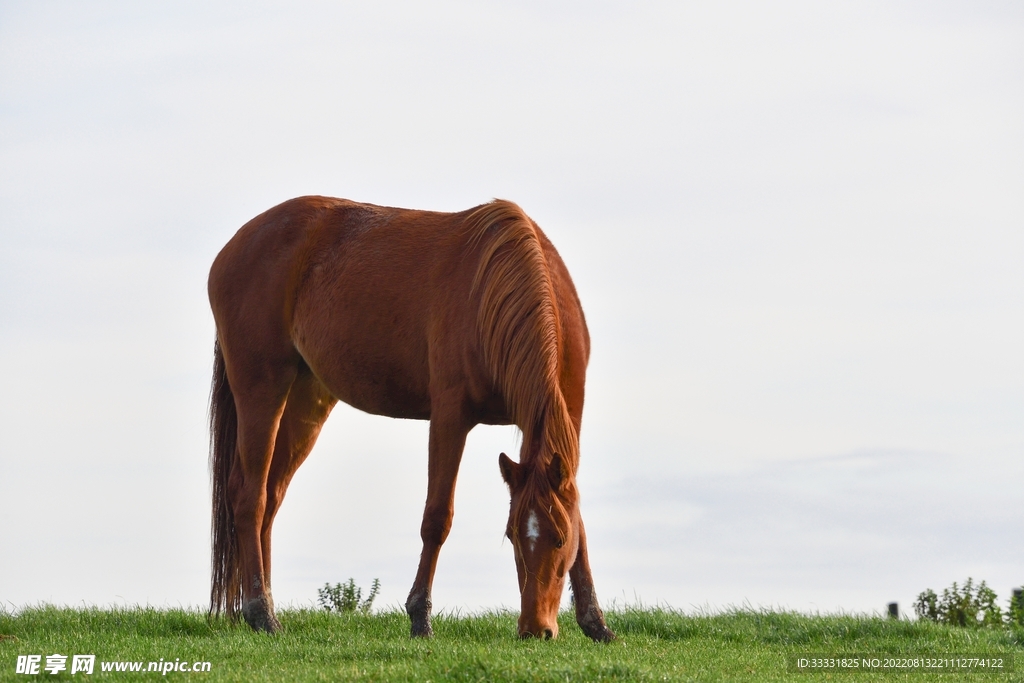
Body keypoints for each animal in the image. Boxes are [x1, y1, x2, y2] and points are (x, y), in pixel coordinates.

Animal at [207, 195, 613, 641]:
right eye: (512, 537)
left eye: (558, 540)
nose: (534, 629)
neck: (500, 286)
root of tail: (233, 247)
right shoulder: (450, 416)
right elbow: (437, 518)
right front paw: (420, 616)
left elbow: (580, 521)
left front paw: (595, 621)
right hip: (261, 390)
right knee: (250, 495)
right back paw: (260, 612)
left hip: (305, 401)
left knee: (272, 496)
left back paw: (264, 605)